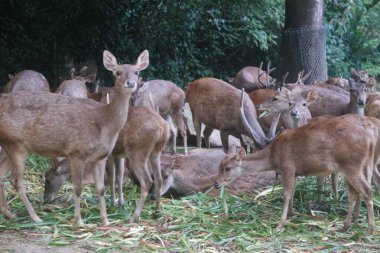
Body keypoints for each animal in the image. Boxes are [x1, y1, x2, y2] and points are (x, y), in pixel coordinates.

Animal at [0, 49, 150, 225]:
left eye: (136, 71)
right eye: (117, 72)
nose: (131, 83)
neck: (103, 121)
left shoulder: (101, 157)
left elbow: (100, 188)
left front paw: (106, 221)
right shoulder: (77, 152)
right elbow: (78, 188)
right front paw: (79, 221)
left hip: (9, 144)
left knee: (2, 175)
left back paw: (10, 214)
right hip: (16, 144)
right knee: (16, 181)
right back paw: (36, 218)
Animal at [214, 113, 378, 234]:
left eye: (227, 168)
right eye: (219, 165)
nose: (216, 184)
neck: (274, 156)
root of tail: (370, 140)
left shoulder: (288, 166)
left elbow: (286, 194)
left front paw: (280, 224)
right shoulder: (294, 172)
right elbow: (292, 191)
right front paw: (292, 214)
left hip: (351, 165)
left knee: (367, 190)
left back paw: (369, 229)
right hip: (354, 167)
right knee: (353, 193)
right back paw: (346, 225)